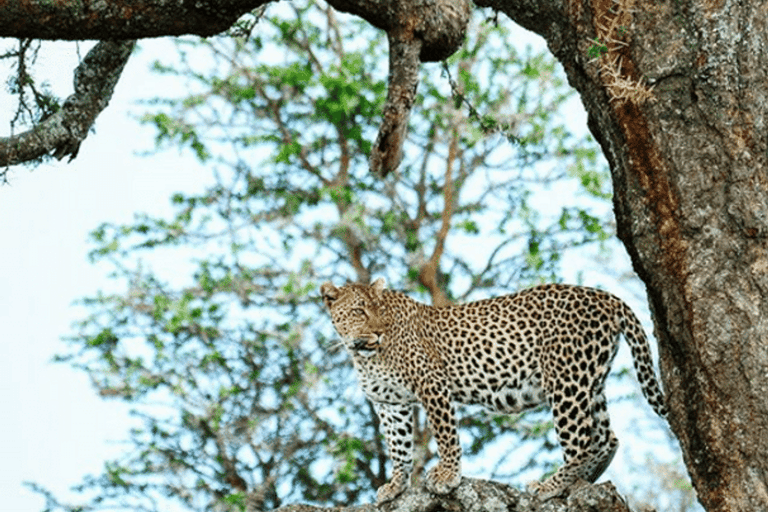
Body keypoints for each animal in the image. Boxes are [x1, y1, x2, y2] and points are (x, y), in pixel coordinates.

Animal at [318, 278, 664, 502]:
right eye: (359, 311)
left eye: (380, 310)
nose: (378, 332)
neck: (363, 354)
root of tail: (607, 297)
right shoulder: (390, 403)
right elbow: (398, 447)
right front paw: (396, 486)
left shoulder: (432, 384)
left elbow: (446, 435)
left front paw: (447, 477)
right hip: (589, 380)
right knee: (606, 438)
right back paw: (582, 483)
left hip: (565, 379)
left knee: (581, 442)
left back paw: (549, 487)